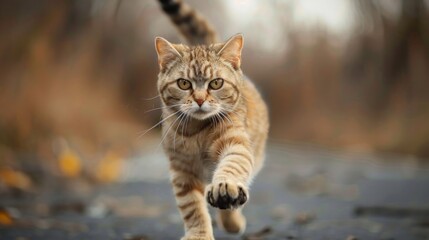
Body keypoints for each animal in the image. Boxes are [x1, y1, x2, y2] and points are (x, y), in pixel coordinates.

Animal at [154, 0, 268, 239]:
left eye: (216, 83)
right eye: (184, 83)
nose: (199, 99)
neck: (196, 131)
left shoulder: (236, 145)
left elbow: (232, 166)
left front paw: (225, 188)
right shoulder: (182, 172)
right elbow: (192, 208)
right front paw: (199, 234)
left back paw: (231, 215)